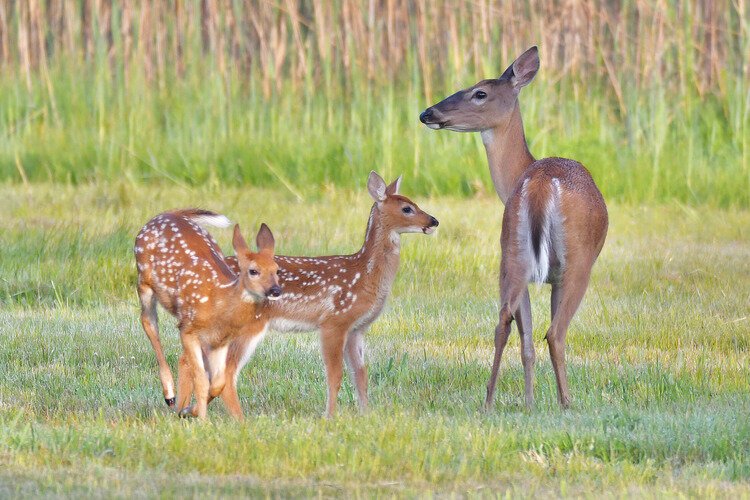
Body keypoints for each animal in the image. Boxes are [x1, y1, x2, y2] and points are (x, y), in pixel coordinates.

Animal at [134, 209, 280, 420]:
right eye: (253, 271)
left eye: (277, 270)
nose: (276, 290)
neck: (219, 302)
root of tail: (168, 213)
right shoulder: (188, 329)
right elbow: (202, 379)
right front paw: (202, 420)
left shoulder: (220, 341)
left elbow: (218, 383)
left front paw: (189, 410)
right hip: (143, 281)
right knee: (149, 323)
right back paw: (169, 395)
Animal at [219, 172, 440, 418]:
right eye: (407, 208)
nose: (433, 221)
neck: (364, 275)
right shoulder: (335, 321)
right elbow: (335, 375)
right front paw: (330, 416)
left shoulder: (357, 329)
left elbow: (360, 374)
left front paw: (366, 414)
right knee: (225, 370)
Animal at [420, 46, 608, 410]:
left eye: (479, 92)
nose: (427, 113)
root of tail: (539, 184)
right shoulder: (557, 275)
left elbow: (526, 341)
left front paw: (529, 401)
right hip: (578, 261)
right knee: (555, 333)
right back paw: (567, 403)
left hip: (511, 252)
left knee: (504, 322)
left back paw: (489, 402)